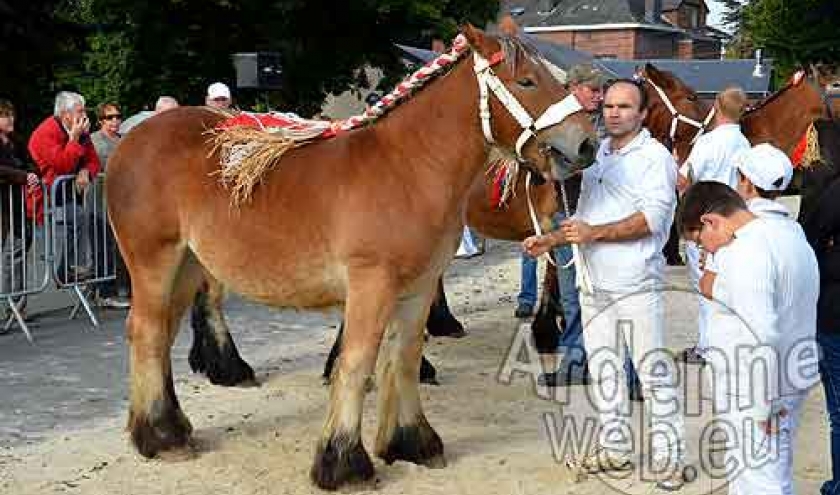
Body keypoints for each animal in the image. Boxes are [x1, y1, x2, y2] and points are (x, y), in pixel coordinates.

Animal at [108, 21, 596, 490]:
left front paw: (412, 442)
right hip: (155, 262)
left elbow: (404, 358)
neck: (408, 167)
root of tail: (131, 140)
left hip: (188, 265)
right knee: (147, 332)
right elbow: (356, 364)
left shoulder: (418, 288)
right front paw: (343, 462)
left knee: (164, 333)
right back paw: (162, 437)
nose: (586, 145)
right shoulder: (371, 284)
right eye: (527, 80)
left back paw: (168, 425)